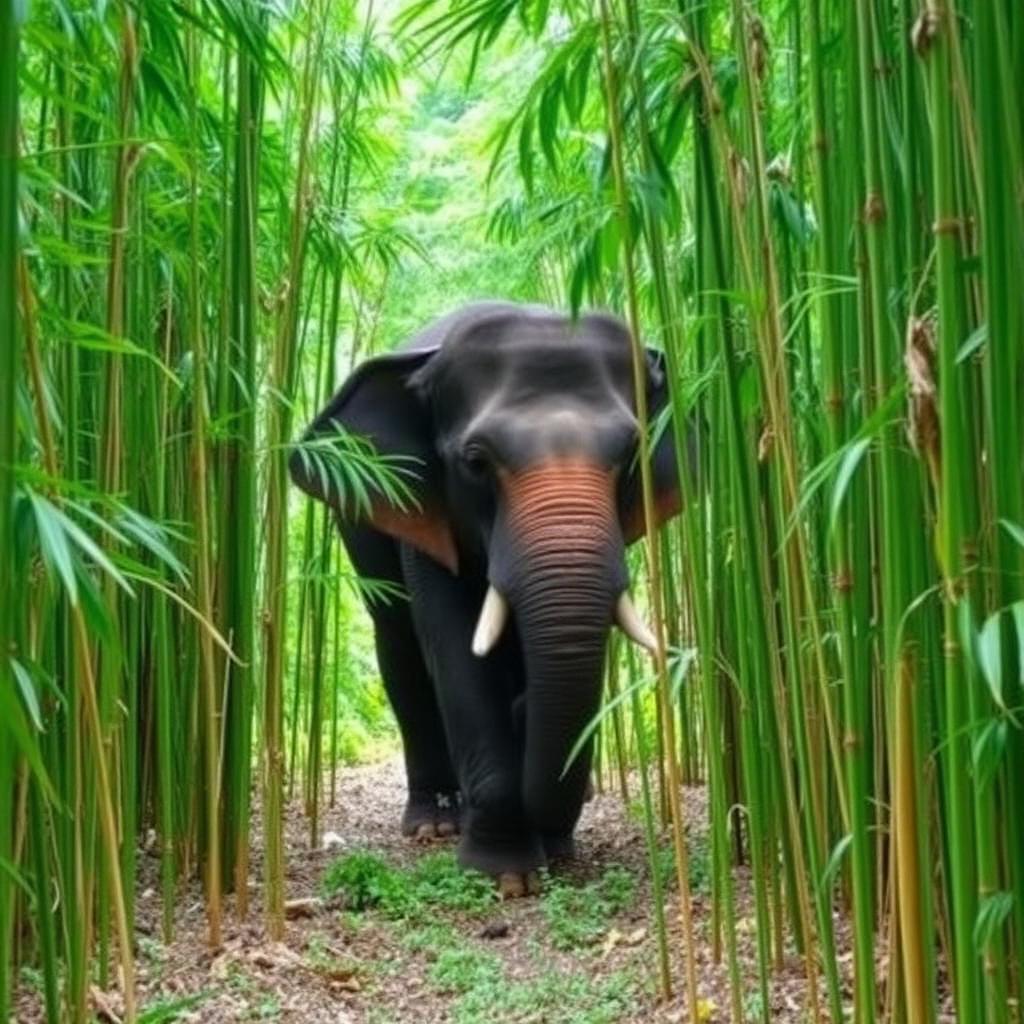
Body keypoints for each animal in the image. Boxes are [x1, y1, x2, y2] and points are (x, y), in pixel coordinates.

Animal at [288, 301, 685, 896]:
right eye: (475, 461)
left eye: (631, 454)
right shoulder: (421, 509)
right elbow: (455, 652)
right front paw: (507, 875)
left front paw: (553, 848)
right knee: (399, 648)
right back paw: (433, 822)